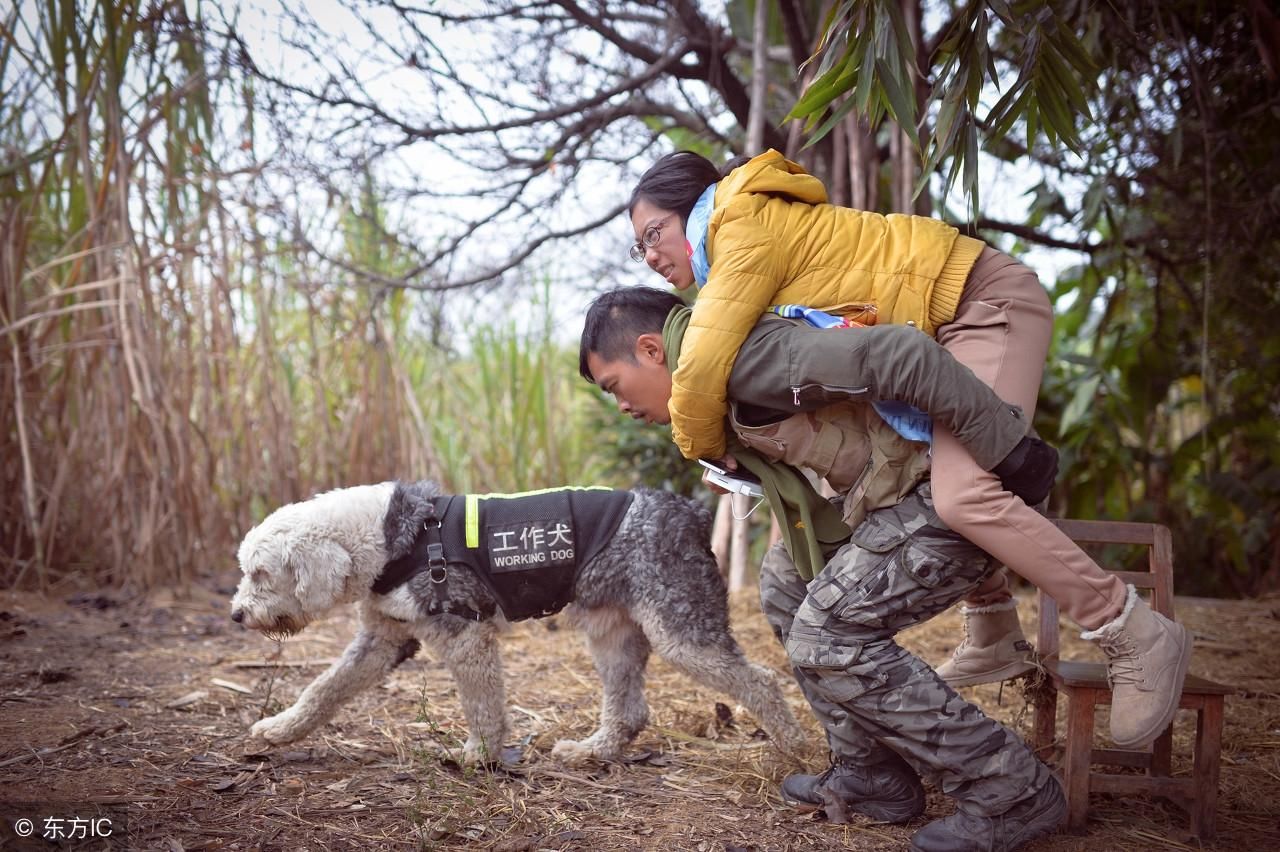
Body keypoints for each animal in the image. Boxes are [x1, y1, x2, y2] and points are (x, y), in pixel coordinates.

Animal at [232, 478, 798, 762]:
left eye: (260, 573)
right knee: (631, 711)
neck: (391, 538)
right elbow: (323, 689)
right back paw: (590, 751)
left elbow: (482, 707)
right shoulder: (382, 639)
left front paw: (479, 755)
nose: (237, 614)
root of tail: (690, 512)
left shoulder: (464, 635)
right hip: (612, 633)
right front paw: (279, 730)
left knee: (764, 682)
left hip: (681, 630)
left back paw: (796, 750)